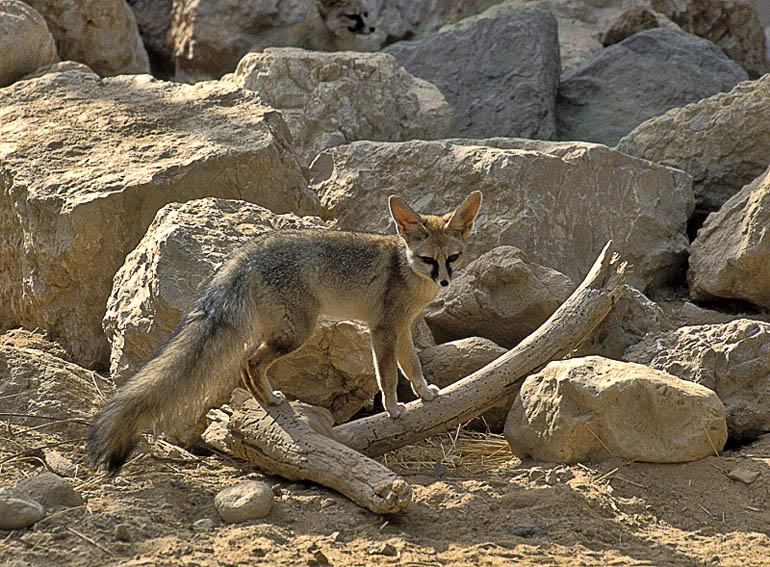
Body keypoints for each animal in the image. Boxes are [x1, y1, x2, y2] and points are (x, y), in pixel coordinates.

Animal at [88, 191, 480, 474]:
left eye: (453, 258)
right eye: (428, 260)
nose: (445, 282)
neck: (406, 269)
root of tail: (247, 252)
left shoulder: (402, 329)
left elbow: (412, 366)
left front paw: (425, 394)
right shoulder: (382, 329)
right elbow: (387, 374)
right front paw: (394, 409)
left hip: (284, 332)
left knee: (246, 363)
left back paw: (266, 401)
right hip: (298, 333)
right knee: (249, 361)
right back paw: (271, 400)